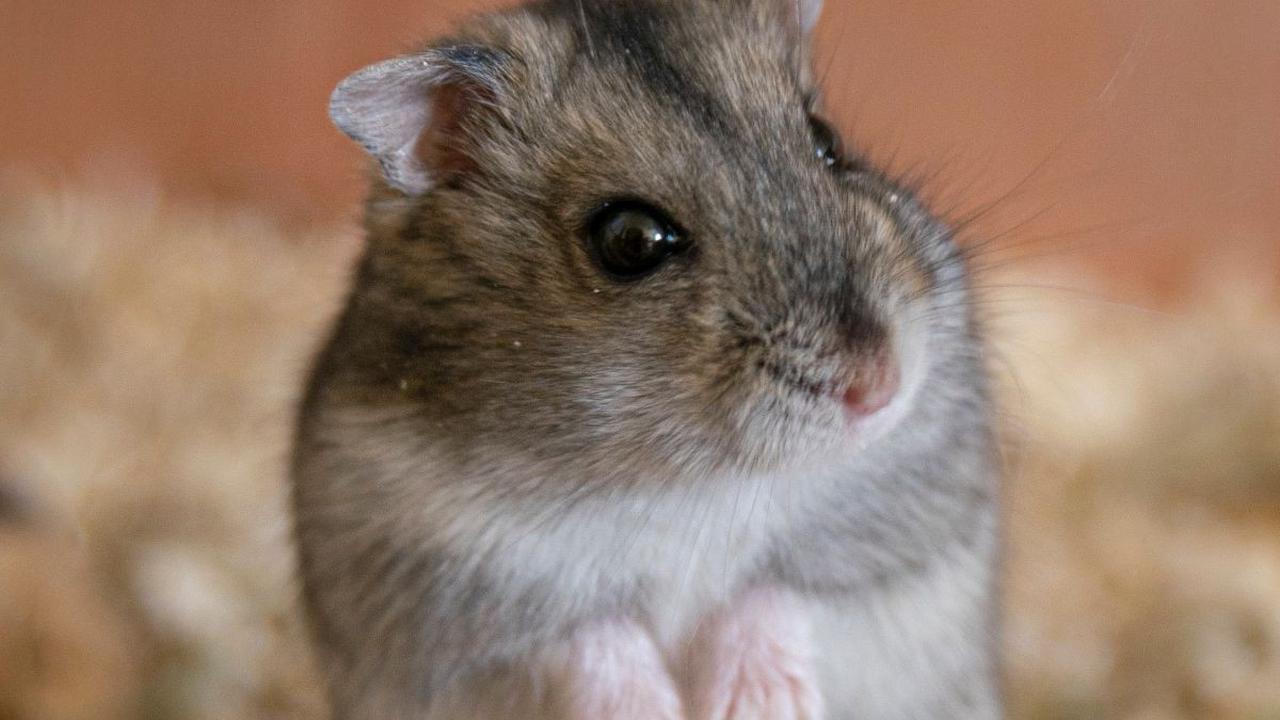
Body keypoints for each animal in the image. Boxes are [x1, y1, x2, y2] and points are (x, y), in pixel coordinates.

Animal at [291, 0, 1001, 718]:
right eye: (630, 239)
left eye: (827, 142)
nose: (879, 386)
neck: (687, 480)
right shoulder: (446, 600)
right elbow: (590, 636)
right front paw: (662, 709)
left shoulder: (902, 550)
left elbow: (777, 593)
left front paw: (760, 706)